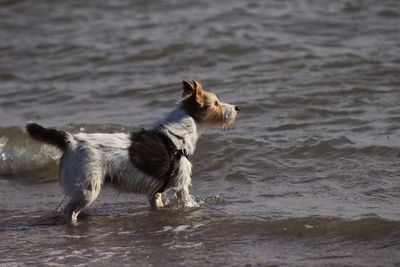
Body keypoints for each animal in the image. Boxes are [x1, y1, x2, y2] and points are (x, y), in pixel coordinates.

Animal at [26, 80, 239, 223]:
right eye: (216, 103)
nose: (237, 107)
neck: (179, 135)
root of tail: (71, 140)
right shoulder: (182, 186)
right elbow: (187, 202)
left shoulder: (155, 193)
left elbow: (157, 203)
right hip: (88, 189)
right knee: (70, 211)